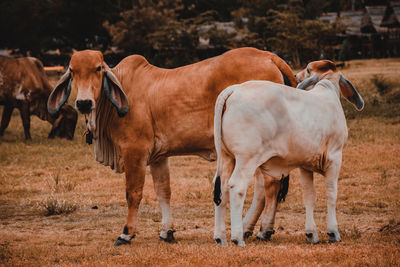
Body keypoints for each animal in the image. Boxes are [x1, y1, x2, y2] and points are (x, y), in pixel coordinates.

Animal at [47, 47, 296, 246]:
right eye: (72, 70)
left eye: (98, 68)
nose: (83, 102)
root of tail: (268, 56)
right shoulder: (158, 157)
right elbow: (163, 191)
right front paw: (167, 231)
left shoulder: (134, 151)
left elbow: (133, 193)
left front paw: (126, 233)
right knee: (265, 188)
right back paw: (250, 229)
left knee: (269, 186)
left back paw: (261, 230)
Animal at [214, 60, 364, 247]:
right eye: (308, 69)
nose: (296, 75)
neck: (326, 89)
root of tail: (235, 89)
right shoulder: (335, 158)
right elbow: (331, 194)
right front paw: (333, 232)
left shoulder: (305, 165)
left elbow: (309, 196)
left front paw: (311, 234)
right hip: (246, 159)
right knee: (237, 187)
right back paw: (237, 238)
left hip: (227, 157)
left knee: (221, 189)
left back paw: (221, 238)